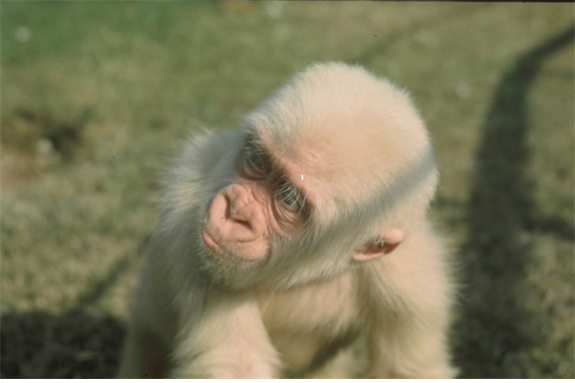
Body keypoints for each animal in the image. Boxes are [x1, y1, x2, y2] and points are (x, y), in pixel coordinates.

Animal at [118, 62, 460, 378]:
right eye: (257, 159)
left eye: (289, 199)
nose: (236, 211)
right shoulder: (186, 208)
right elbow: (237, 363)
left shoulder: (415, 282)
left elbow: (407, 369)